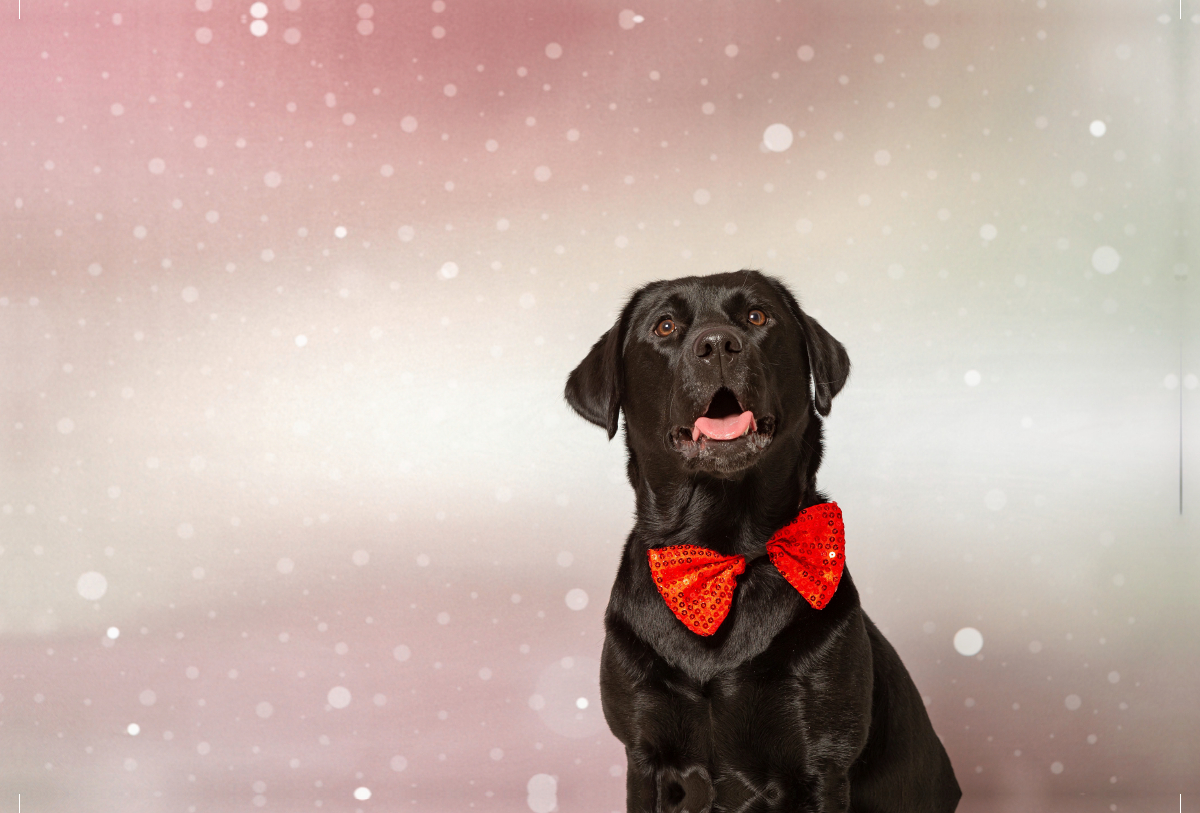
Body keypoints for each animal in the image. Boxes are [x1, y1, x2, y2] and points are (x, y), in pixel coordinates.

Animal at [564, 271, 964, 810]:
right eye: (665, 326)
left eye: (757, 316)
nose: (717, 344)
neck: (726, 550)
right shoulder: (642, 756)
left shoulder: (821, 763)